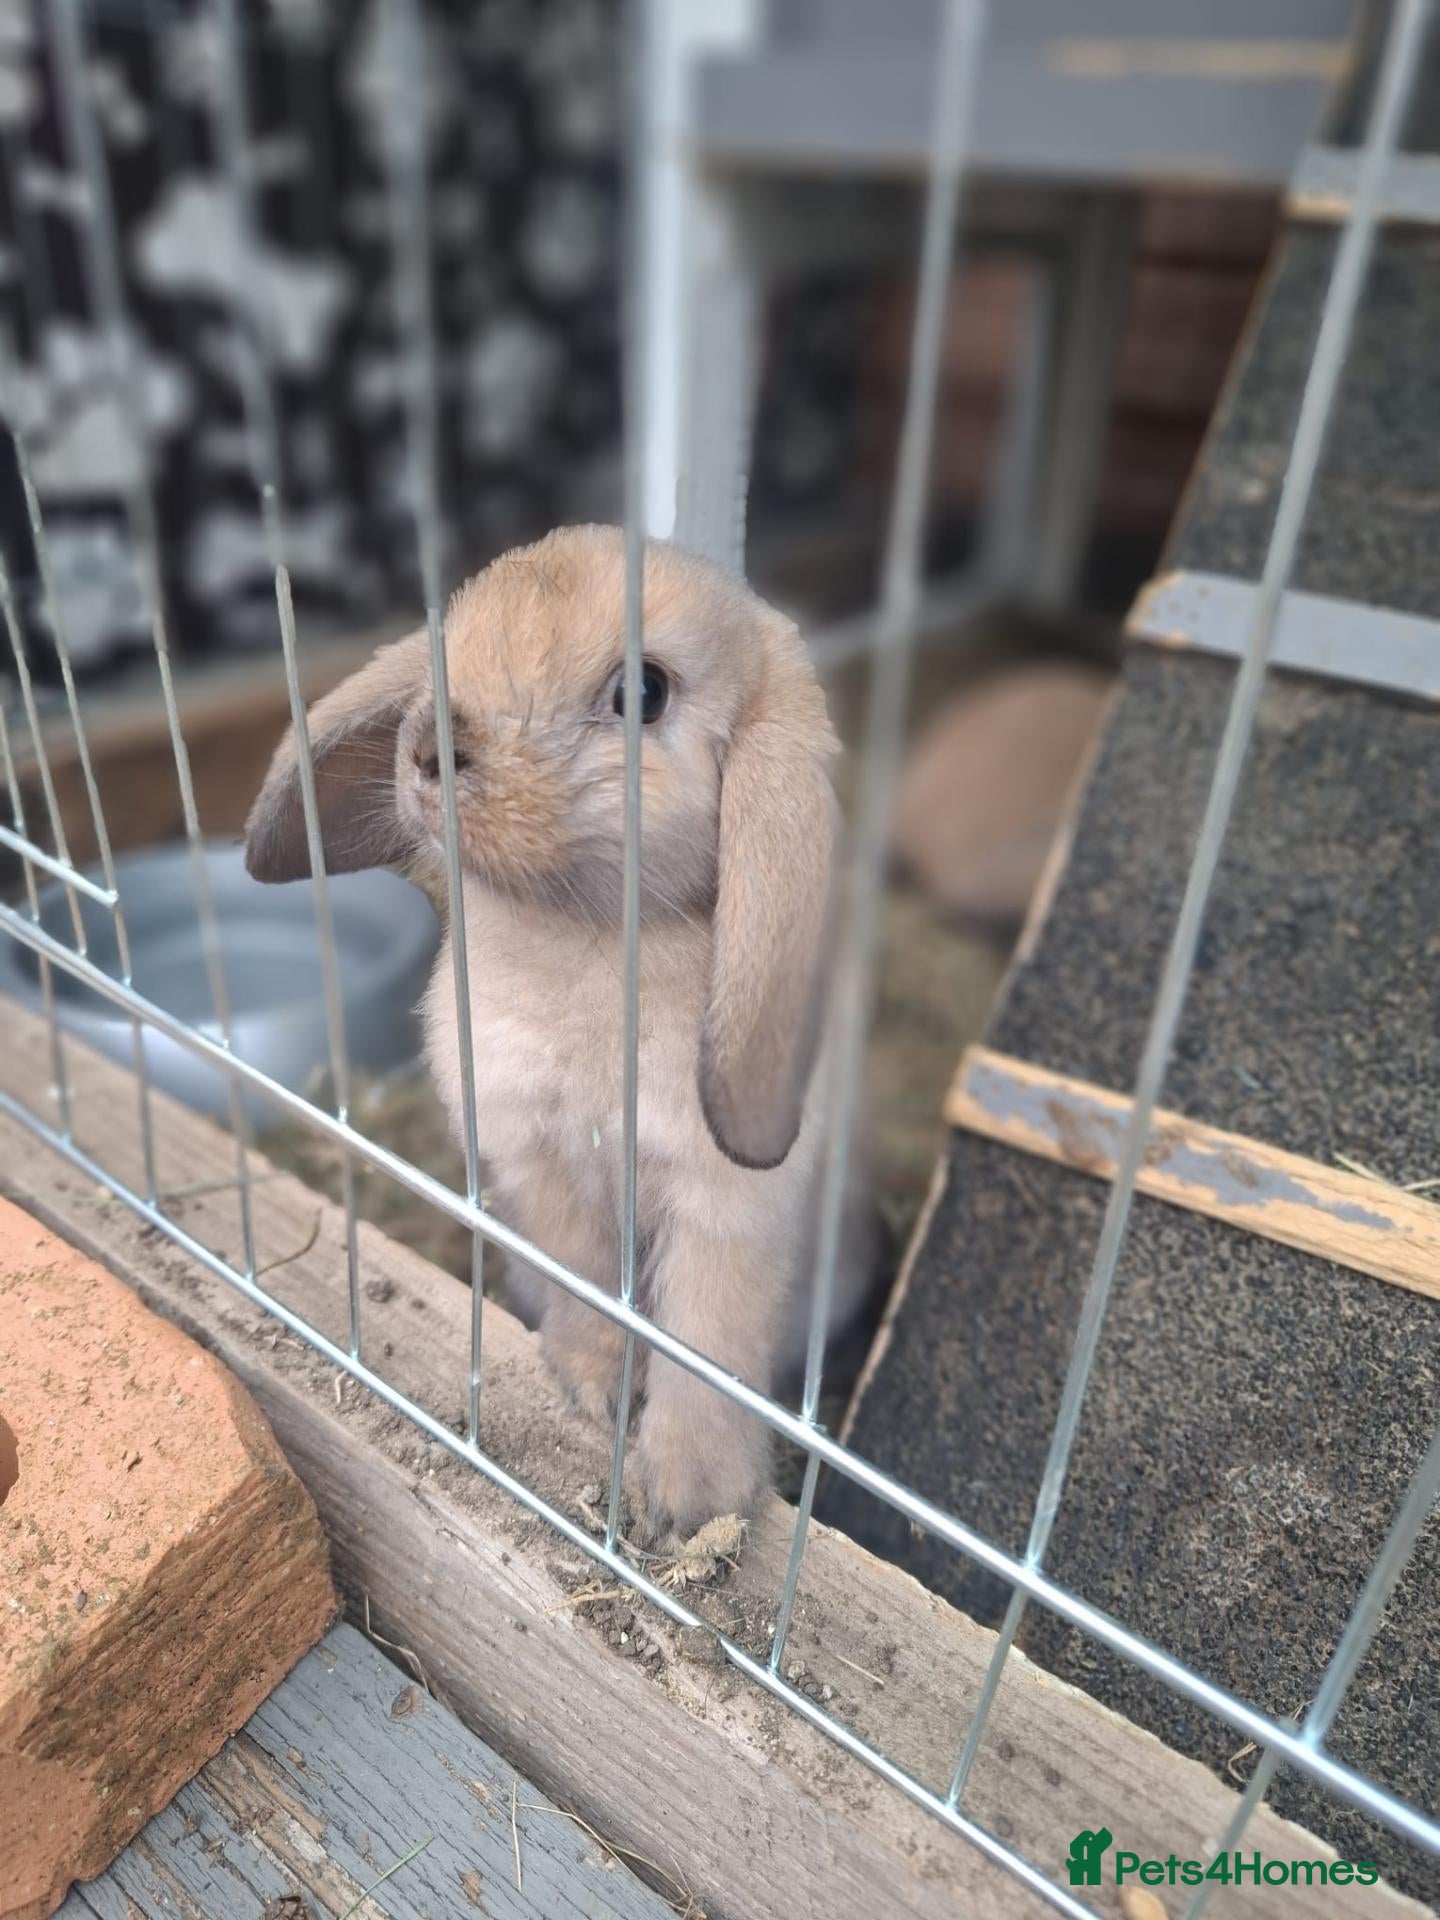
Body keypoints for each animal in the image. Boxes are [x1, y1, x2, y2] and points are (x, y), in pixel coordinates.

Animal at [244, 524, 874, 1541]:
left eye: (645, 692)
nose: (431, 745)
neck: (586, 935)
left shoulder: (725, 1213)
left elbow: (709, 1342)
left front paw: (690, 1502)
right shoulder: (538, 1169)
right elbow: (582, 1286)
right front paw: (588, 1390)